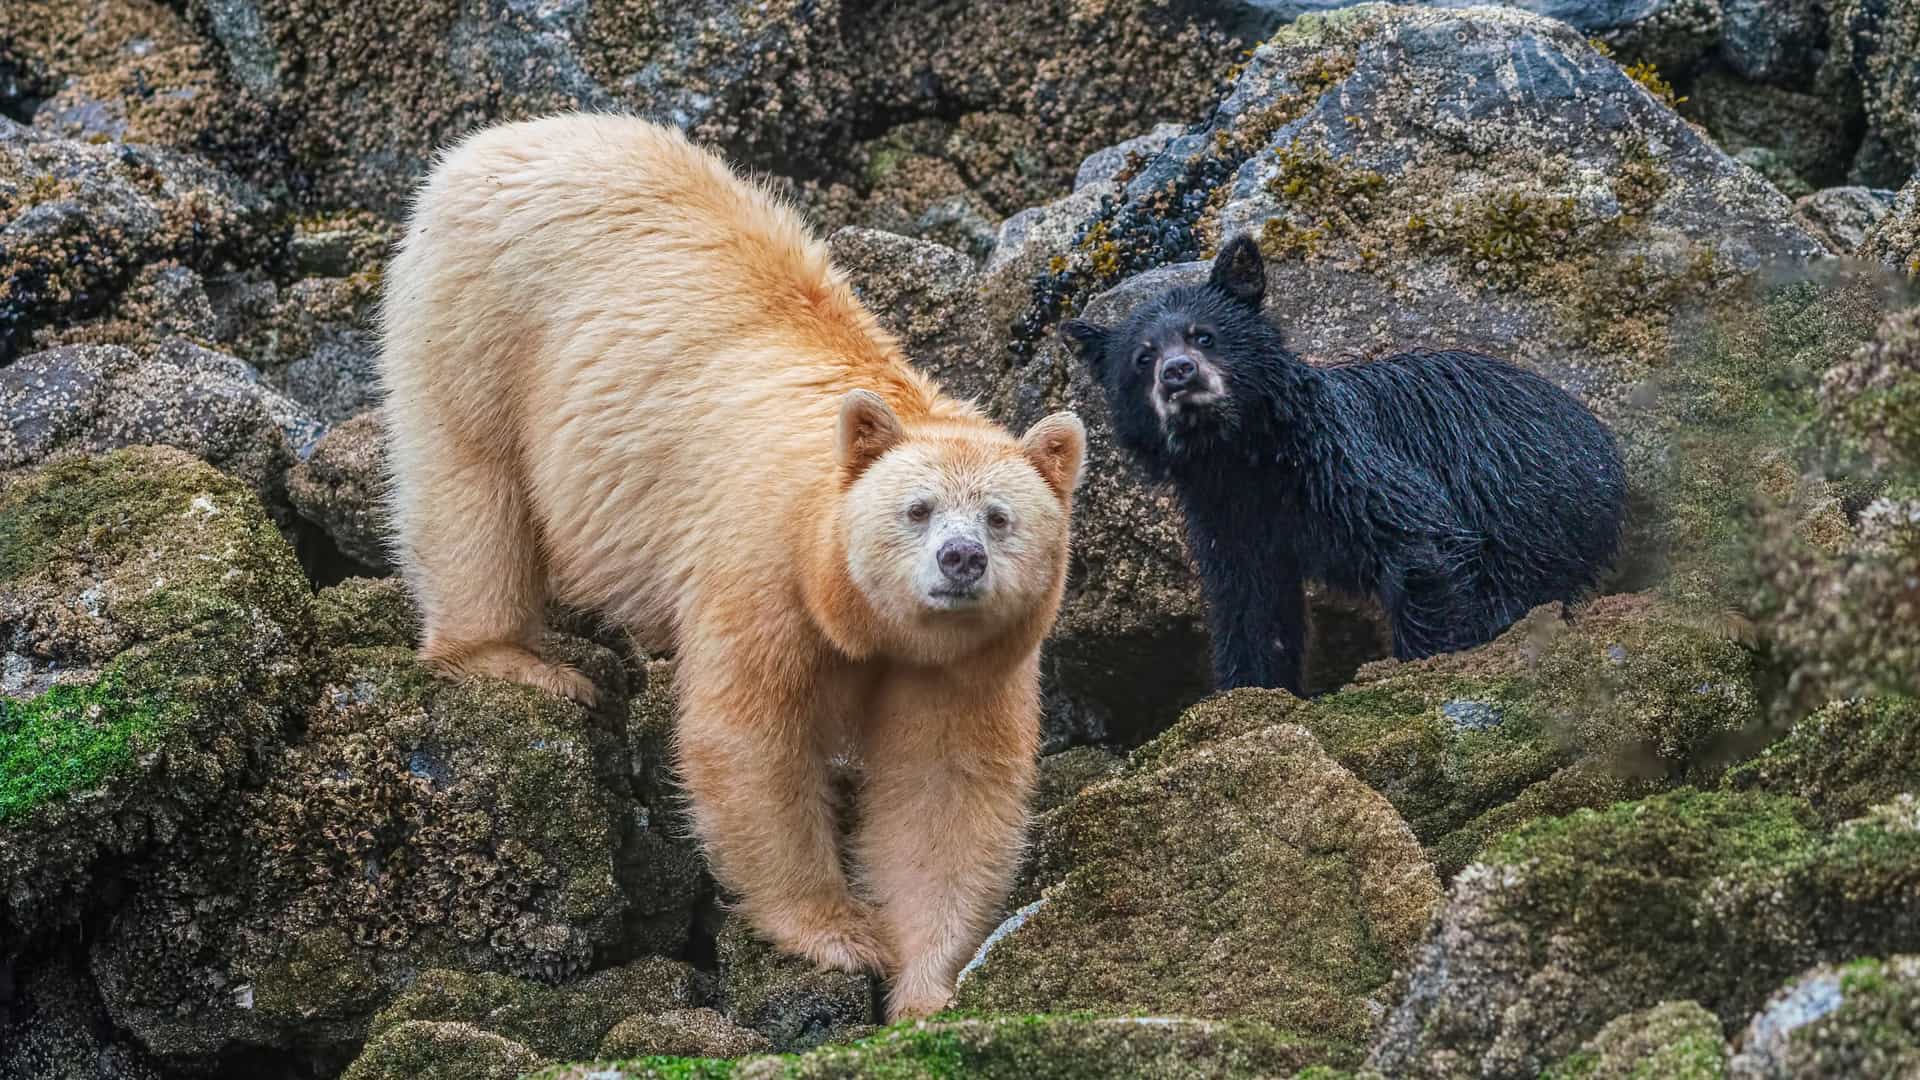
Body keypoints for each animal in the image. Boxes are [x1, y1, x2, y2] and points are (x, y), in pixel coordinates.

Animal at [378, 112, 1087, 1021]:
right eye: (918, 508)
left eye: (1000, 518)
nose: (960, 560)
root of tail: (508, 137)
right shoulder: (761, 561)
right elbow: (748, 737)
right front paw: (838, 933)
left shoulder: (973, 660)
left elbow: (944, 786)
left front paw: (928, 989)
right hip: (483, 314)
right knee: (471, 483)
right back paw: (510, 658)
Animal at [1061, 233, 1626, 695]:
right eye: (1143, 358)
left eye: (1204, 335)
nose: (1178, 373)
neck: (1245, 455)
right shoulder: (1226, 518)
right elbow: (1251, 607)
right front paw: (1249, 690)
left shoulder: (1343, 463)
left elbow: (1421, 540)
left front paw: (1425, 661)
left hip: (1533, 511)